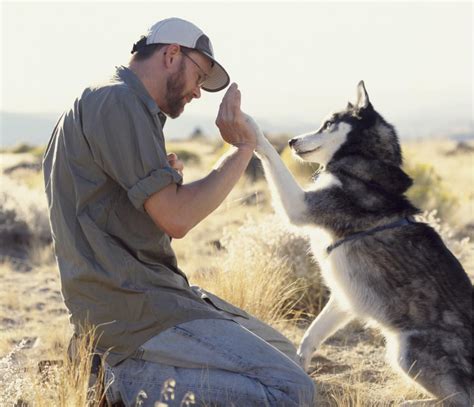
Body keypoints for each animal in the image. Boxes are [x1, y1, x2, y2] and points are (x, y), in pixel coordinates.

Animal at [250, 81, 472, 406]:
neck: (364, 163)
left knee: (460, 399)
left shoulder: (300, 206)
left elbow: (269, 153)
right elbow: (310, 338)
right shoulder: (345, 297)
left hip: (407, 351)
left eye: (328, 123)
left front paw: (248, 125)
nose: (291, 141)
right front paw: (302, 370)